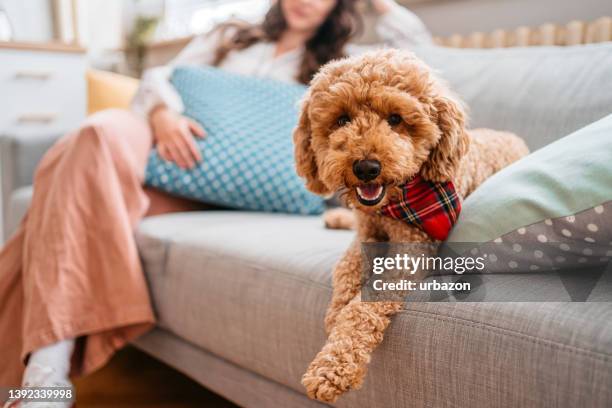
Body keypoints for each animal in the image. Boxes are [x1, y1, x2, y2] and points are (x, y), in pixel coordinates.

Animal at [294, 48, 528, 402]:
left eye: (395, 119)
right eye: (342, 119)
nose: (366, 167)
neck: (392, 206)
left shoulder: (411, 249)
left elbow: (362, 306)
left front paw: (331, 366)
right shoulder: (366, 235)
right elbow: (345, 270)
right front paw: (334, 314)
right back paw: (336, 217)